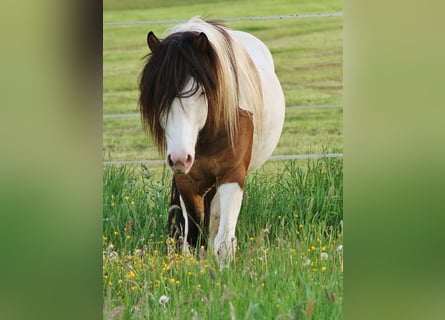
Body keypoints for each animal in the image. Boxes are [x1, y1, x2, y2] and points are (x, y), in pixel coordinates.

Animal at [139, 17, 284, 268]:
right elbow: (192, 241)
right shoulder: (186, 181)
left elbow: (224, 242)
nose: (180, 158)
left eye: (201, 92)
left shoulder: (232, 176)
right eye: (158, 95)